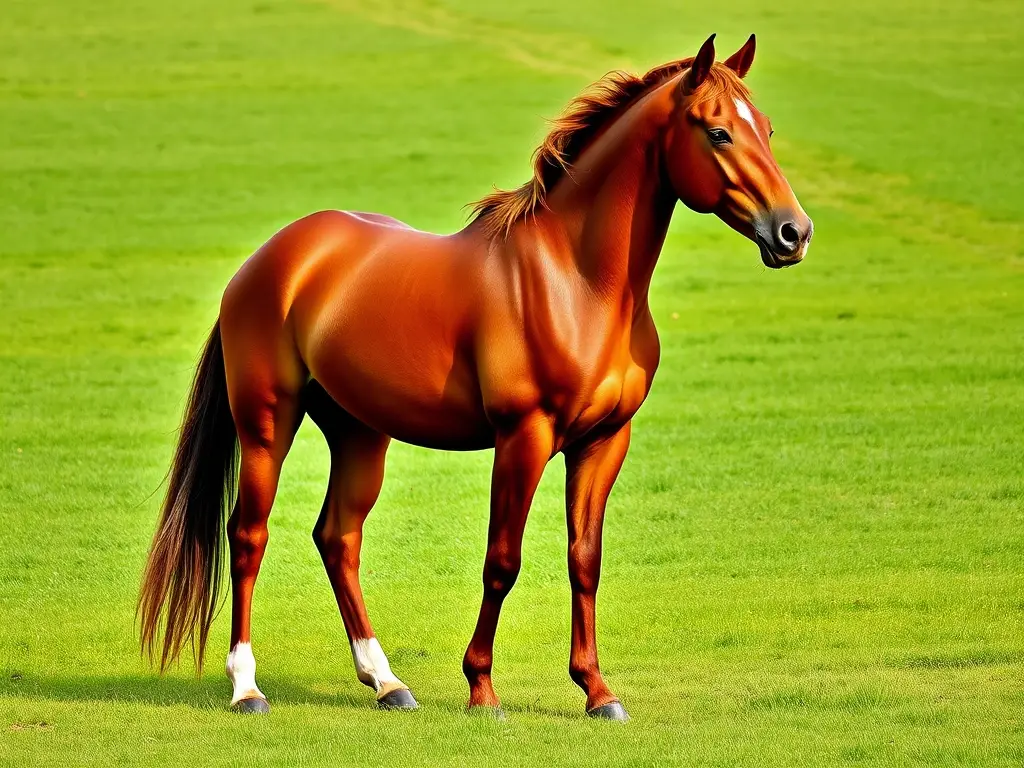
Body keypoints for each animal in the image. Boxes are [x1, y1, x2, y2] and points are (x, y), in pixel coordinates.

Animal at [138, 33, 812, 721]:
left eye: (767, 128)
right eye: (718, 132)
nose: (793, 232)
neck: (578, 282)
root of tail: (268, 259)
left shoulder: (605, 441)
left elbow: (585, 560)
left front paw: (598, 690)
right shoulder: (524, 437)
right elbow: (502, 562)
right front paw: (482, 688)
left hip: (359, 432)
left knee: (338, 537)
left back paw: (387, 682)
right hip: (267, 424)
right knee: (248, 536)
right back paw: (247, 686)